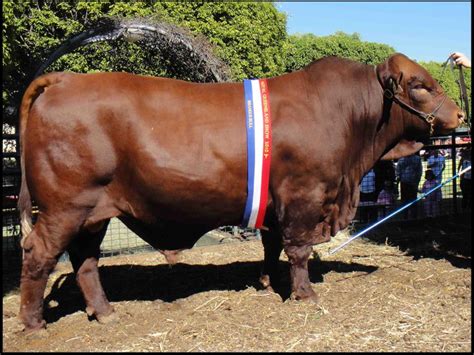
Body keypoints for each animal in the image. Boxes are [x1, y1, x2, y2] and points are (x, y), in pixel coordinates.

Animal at [18, 52, 462, 330]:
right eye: (420, 85)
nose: (459, 113)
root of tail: (65, 79)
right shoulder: (304, 195)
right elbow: (298, 250)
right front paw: (305, 294)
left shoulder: (274, 202)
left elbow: (272, 245)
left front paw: (266, 282)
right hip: (64, 207)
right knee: (40, 255)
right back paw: (34, 323)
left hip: (92, 213)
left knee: (85, 261)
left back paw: (105, 312)